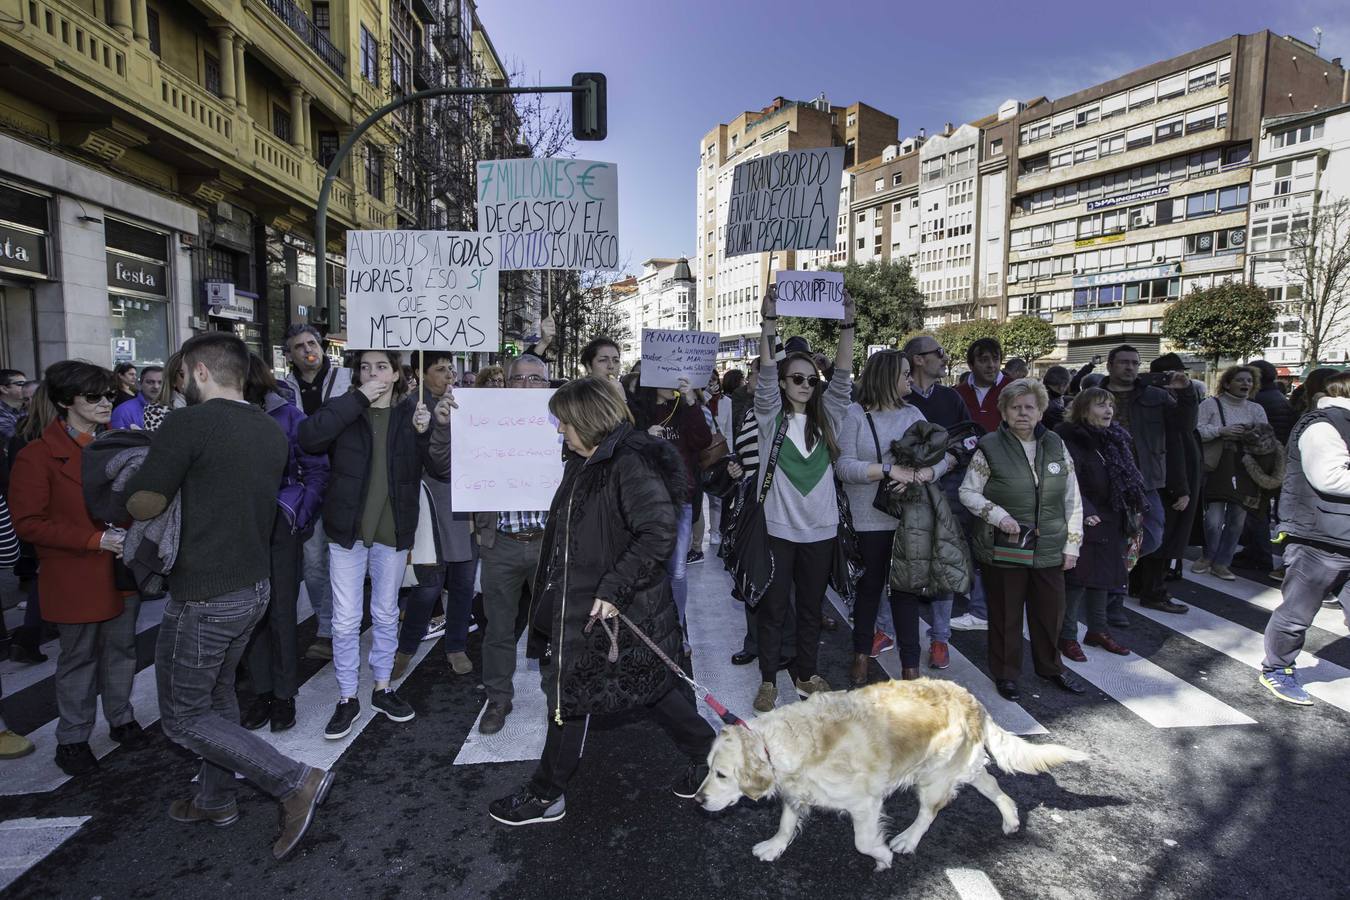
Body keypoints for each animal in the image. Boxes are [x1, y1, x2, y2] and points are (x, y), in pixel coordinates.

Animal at [696, 680, 1085, 868]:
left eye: (722, 775)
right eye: (708, 768)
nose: (698, 800)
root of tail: (971, 698)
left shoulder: (865, 803)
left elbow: (863, 842)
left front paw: (883, 857)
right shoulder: (797, 791)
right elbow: (787, 822)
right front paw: (774, 847)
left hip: (933, 777)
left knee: (929, 812)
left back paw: (907, 840)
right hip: (961, 766)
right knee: (992, 785)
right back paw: (1010, 819)